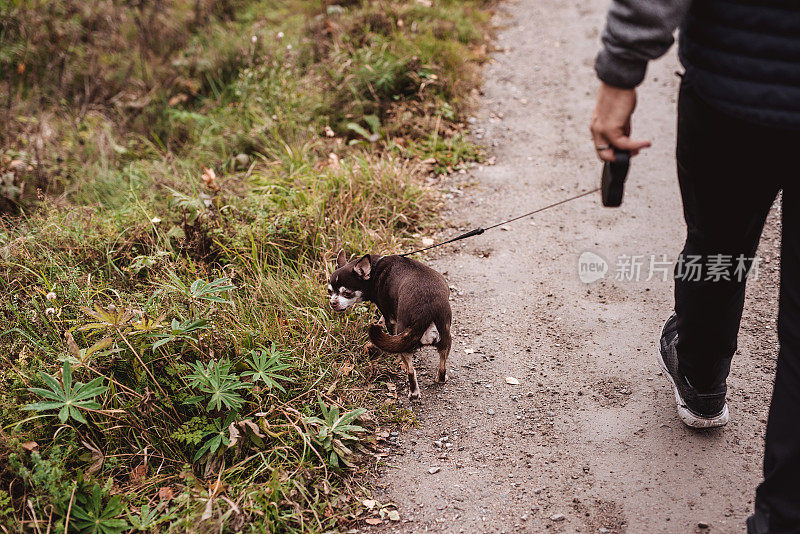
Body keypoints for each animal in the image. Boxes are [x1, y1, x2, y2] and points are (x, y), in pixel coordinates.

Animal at [324, 252, 450, 402]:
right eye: (329, 291)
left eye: (347, 293)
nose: (333, 303)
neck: (374, 269)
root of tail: (425, 311)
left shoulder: (391, 319)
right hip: (445, 336)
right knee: (442, 362)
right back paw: (440, 377)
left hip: (405, 340)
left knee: (411, 371)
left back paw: (413, 392)